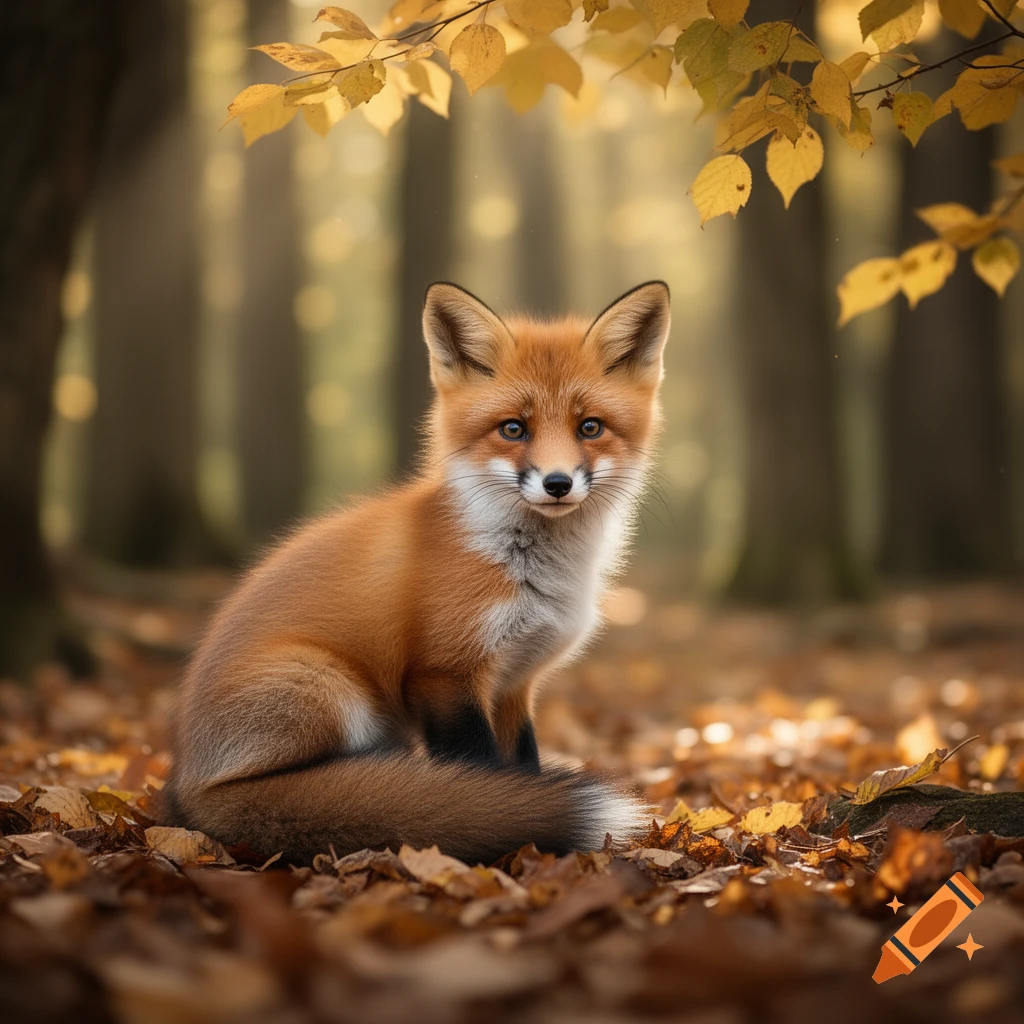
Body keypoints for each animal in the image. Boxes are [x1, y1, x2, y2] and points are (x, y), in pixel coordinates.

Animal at [162, 280, 672, 865]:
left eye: (590, 427)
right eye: (513, 429)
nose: (558, 483)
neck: (532, 572)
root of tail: (186, 790)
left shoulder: (515, 682)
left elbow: (524, 767)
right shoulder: (444, 674)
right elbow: (483, 777)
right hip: (326, 685)